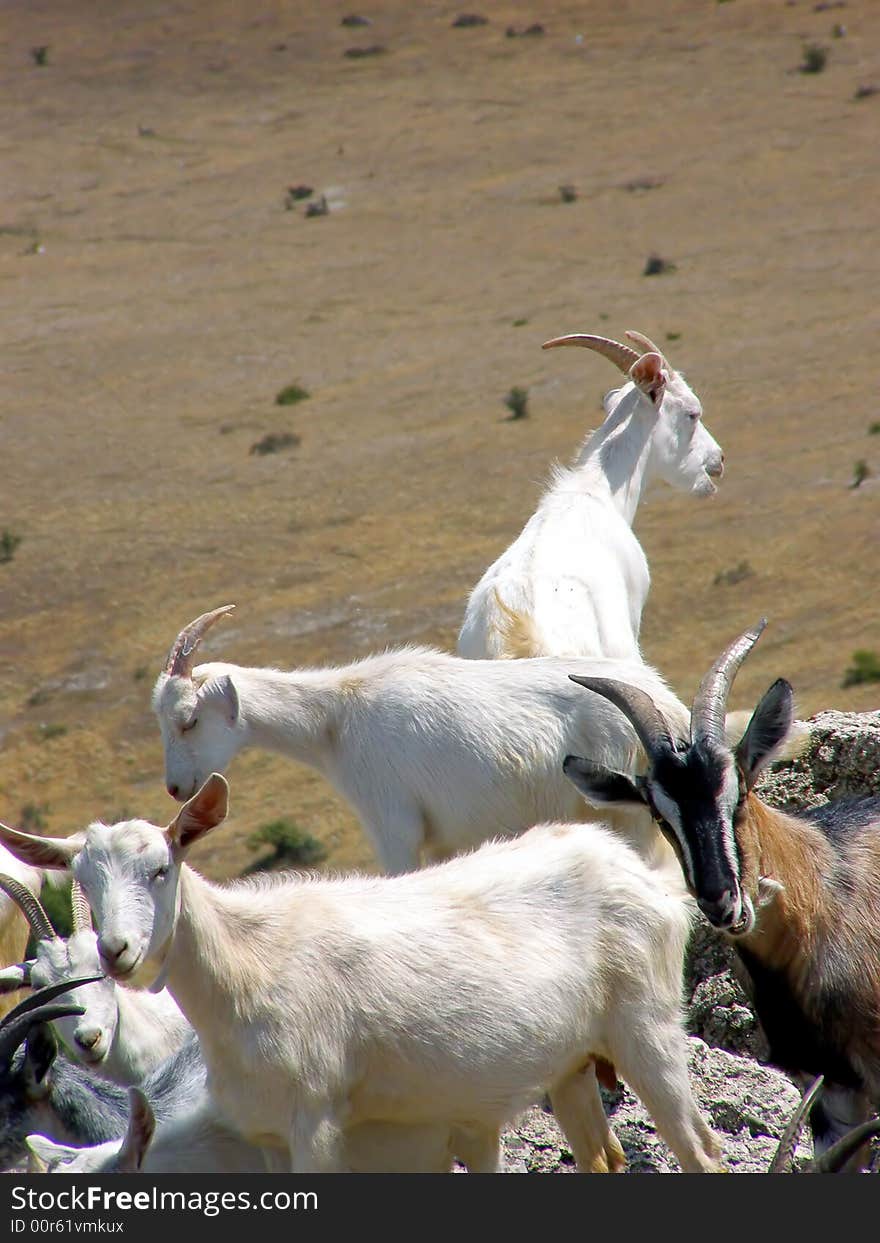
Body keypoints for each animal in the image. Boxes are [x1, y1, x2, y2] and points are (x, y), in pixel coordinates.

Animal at [151, 606, 691, 870]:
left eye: (189, 720)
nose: (176, 788)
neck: (336, 720)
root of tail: (670, 707)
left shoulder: (394, 827)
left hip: (632, 821)